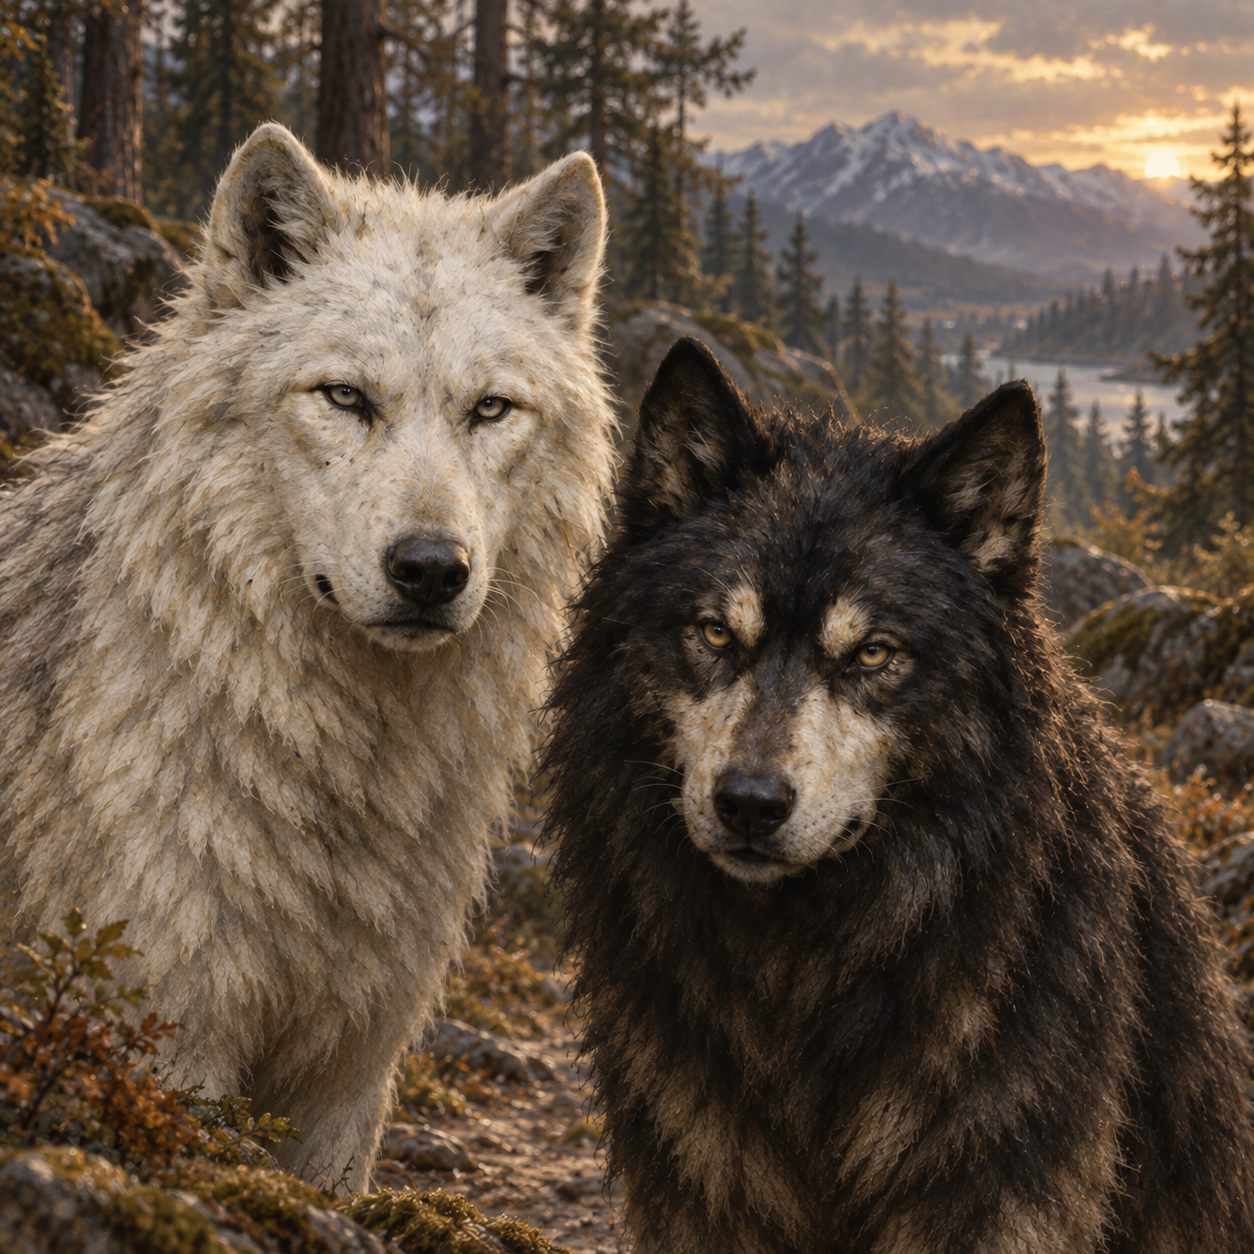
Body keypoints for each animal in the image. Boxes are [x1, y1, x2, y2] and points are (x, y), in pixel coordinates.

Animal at [0, 123, 615, 1188]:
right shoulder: (170, 1036)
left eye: (491, 410)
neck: (343, 780)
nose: (430, 569)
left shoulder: (344, 1078)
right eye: (345, 397)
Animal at [544, 338, 1254, 1254]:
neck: (802, 974)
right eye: (715, 633)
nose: (750, 804)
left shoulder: (995, 1187)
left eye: (873, 653)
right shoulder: (703, 1175)